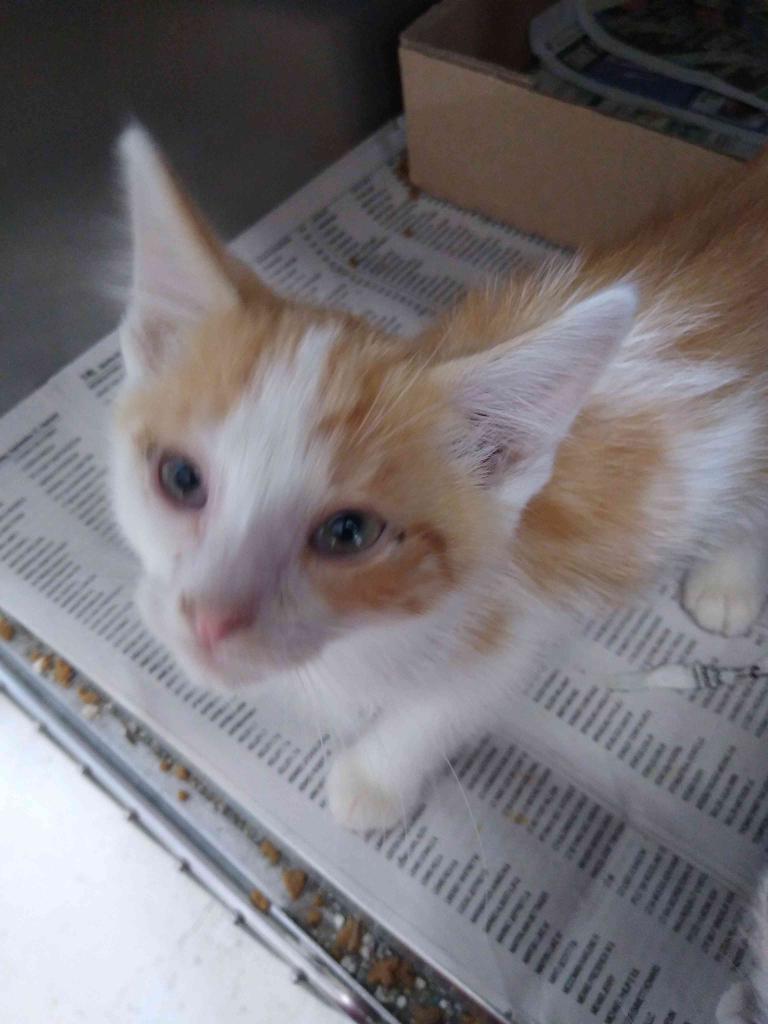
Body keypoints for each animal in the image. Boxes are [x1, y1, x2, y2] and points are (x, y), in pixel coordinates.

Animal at [111, 124, 768, 832]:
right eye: (180, 478)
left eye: (349, 532)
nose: (209, 620)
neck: (366, 635)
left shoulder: (515, 625)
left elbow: (444, 707)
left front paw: (372, 779)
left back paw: (728, 582)